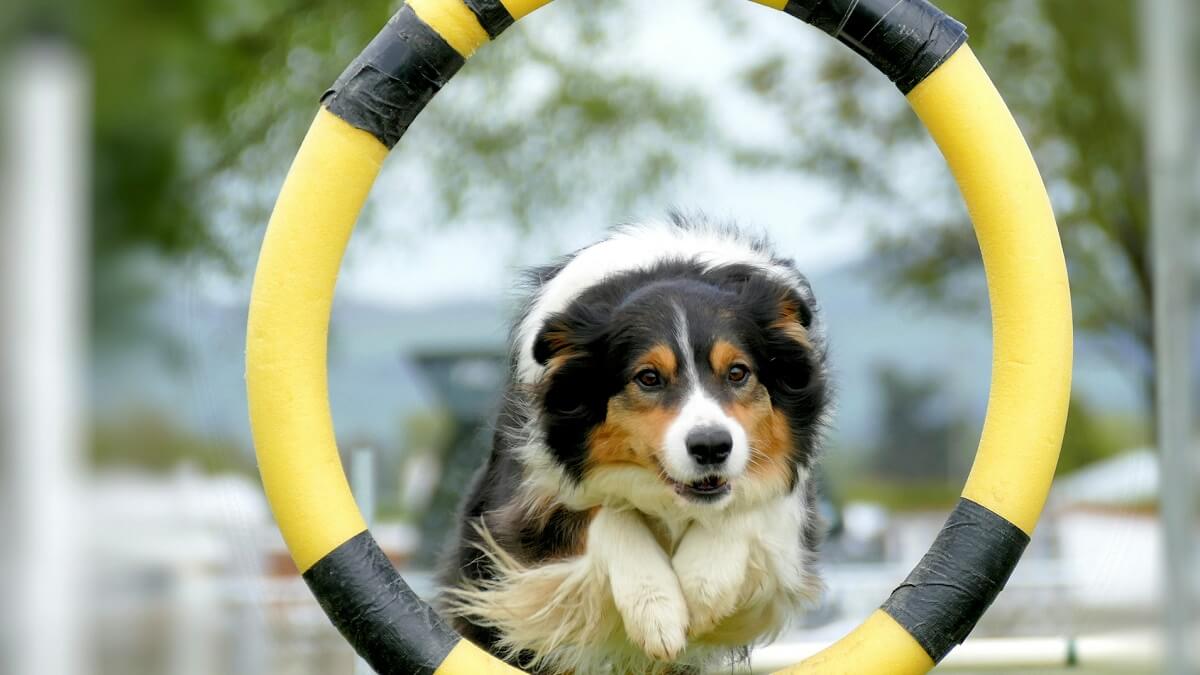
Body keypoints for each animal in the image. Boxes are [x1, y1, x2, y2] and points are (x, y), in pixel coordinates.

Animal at [439, 216, 825, 672]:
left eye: (737, 372)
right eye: (648, 378)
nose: (711, 447)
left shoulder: (790, 511)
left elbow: (755, 503)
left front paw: (700, 587)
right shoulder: (522, 518)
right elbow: (607, 514)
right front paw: (657, 610)